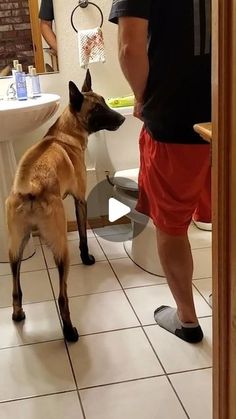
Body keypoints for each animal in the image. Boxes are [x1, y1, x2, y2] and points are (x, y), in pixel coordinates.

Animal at [5, 70, 125, 342]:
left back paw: (18, 314)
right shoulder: (80, 200)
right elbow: (82, 236)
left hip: (15, 248)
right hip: (60, 250)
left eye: (105, 102)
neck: (64, 133)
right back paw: (69, 331)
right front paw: (87, 257)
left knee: (16, 287)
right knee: (62, 297)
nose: (123, 118)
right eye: (97, 108)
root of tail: (30, 189)